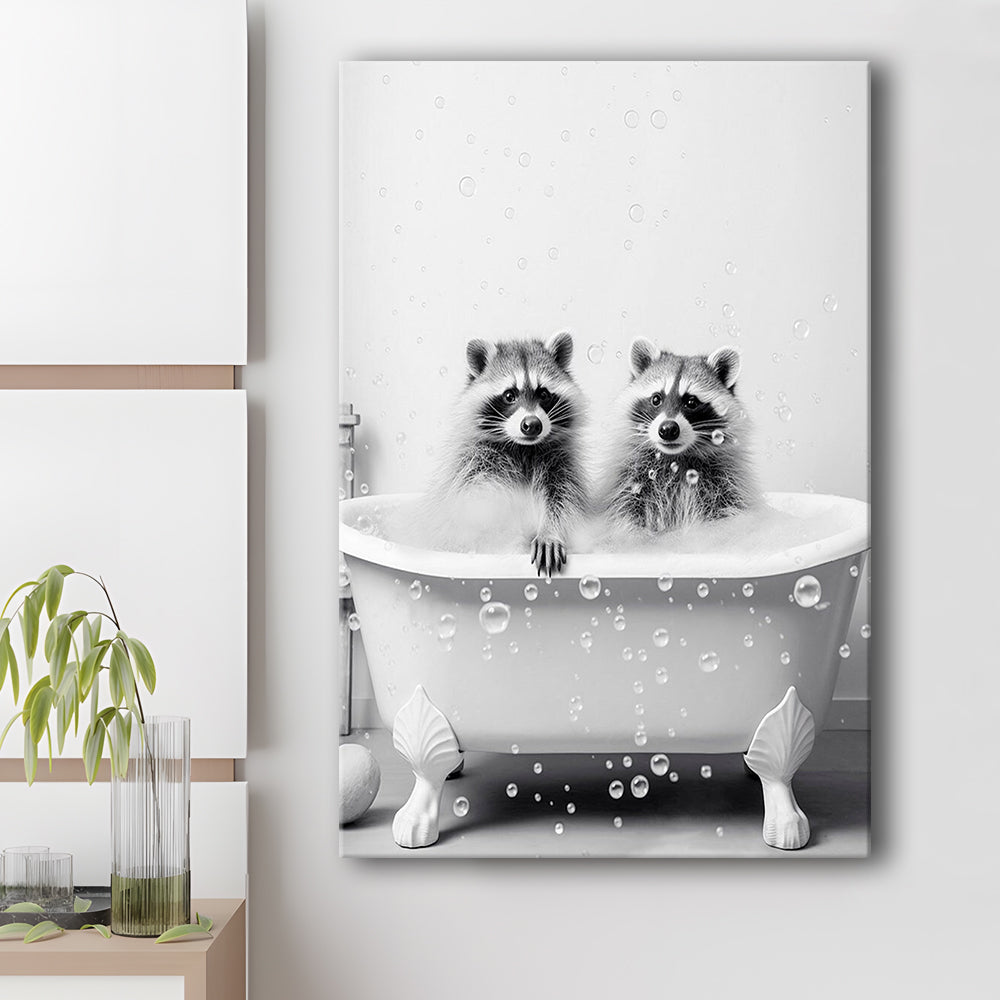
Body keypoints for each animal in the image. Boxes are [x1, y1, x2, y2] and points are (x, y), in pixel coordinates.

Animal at [428, 331, 587, 577]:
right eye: (509, 395)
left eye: (543, 394)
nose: (532, 425)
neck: (523, 448)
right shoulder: (476, 466)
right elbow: (482, 512)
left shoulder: (560, 464)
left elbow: (564, 500)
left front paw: (550, 531)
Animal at [602, 337, 758, 534]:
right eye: (656, 399)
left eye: (691, 402)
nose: (668, 429)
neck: (675, 458)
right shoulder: (629, 482)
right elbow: (625, 510)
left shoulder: (726, 485)